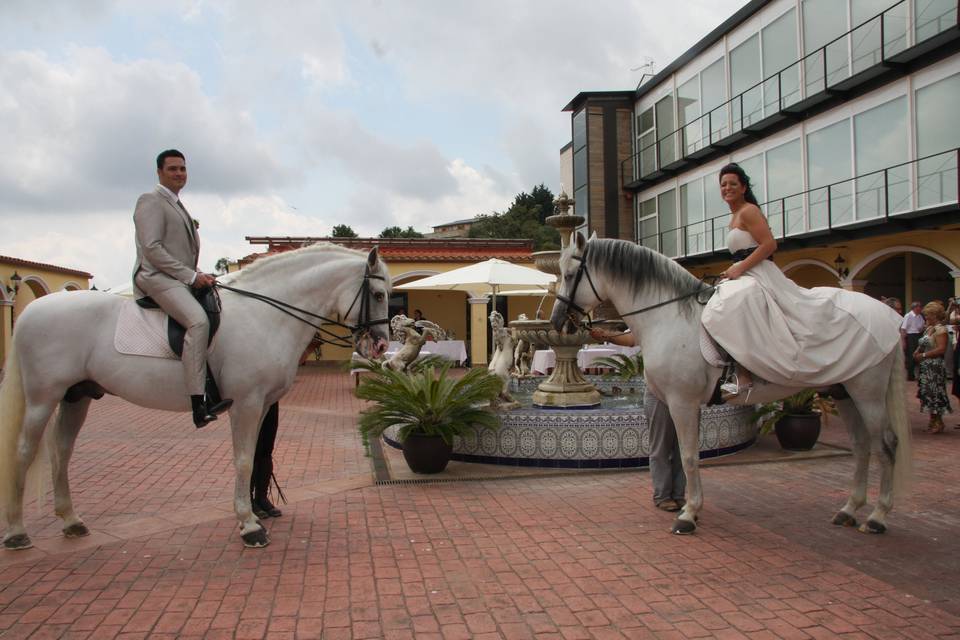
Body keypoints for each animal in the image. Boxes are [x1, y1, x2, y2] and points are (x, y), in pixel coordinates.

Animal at [0, 244, 390, 552]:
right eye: (380, 295)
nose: (381, 344)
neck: (264, 314)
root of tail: (32, 310)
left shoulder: (262, 404)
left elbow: (256, 455)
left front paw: (255, 511)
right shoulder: (246, 404)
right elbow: (243, 460)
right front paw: (250, 526)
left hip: (76, 397)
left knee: (61, 451)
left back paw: (71, 520)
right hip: (42, 398)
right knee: (24, 452)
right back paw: (17, 531)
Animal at [552, 234, 912, 536]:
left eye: (569, 274)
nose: (557, 322)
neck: (671, 316)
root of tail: (887, 315)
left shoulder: (682, 402)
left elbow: (688, 456)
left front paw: (687, 515)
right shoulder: (683, 403)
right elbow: (686, 454)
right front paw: (690, 507)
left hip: (867, 393)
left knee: (886, 446)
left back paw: (877, 517)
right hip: (844, 393)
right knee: (863, 446)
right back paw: (849, 510)